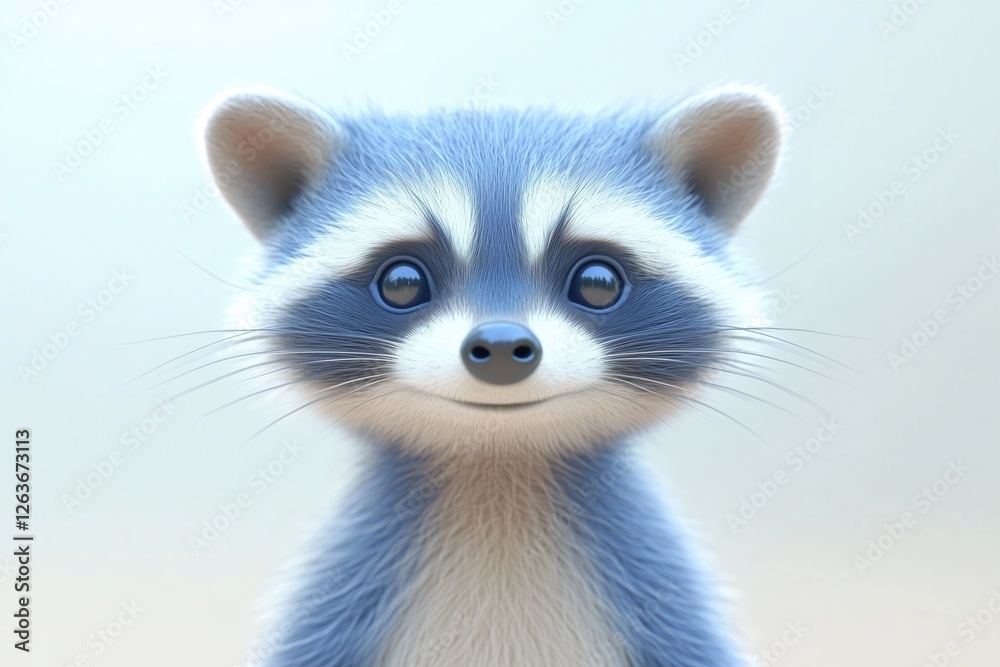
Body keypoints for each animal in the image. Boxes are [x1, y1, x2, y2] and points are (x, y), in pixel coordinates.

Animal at [202, 85, 786, 666]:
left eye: (598, 282)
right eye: (401, 282)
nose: (503, 347)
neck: (498, 465)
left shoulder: (666, 607)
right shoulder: (335, 608)